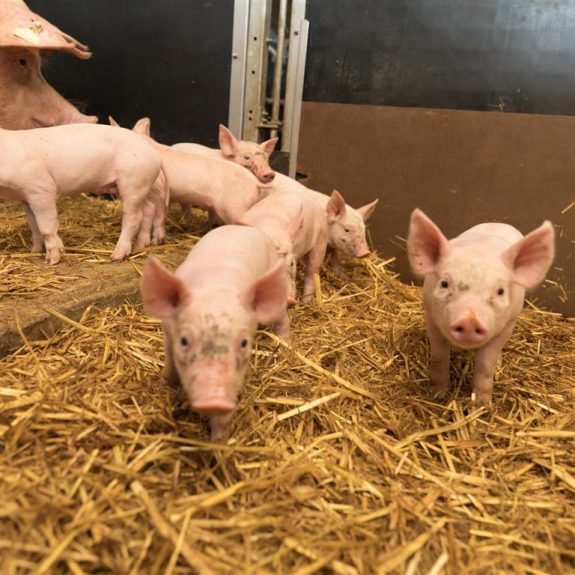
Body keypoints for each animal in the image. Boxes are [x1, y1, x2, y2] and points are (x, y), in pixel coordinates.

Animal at [0, 125, 162, 264]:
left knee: (134, 217)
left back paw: (116, 256)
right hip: (140, 186)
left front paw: (51, 261)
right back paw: (140, 246)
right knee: (148, 209)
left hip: (133, 182)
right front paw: (35, 251)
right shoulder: (25, 198)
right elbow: (34, 225)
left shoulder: (41, 188)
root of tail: (152, 149)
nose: (35, 251)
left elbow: (46, 228)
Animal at [140, 224, 292, 440]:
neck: (216, 288)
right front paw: (163, 388)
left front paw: (218, 441)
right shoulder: (168, 333)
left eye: (244, 343)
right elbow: (169, 364)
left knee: (282, 319)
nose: (215, 400)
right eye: (184, 341)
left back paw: (286, 347)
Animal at [408, 210, 556, 404]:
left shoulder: (507, 325)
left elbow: (486, 365)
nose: (469, 320)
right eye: (444, 283)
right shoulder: (431, 317)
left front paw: (483, 405)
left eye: (500, 291)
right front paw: (437, 395)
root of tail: (499, 222)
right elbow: (439, 357)